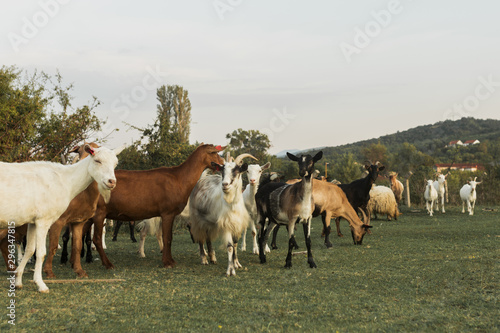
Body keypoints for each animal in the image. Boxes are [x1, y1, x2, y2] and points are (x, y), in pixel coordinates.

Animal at [0, 144, 120, 292]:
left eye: (115, 163)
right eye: (97, 160)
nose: (111, 182)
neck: (65, 180)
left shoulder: (33, 221)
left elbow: (30, 250)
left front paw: (18, 281)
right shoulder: (44, 220)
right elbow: (41, 253)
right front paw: (41, 284)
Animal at [89, 144, 226, 268]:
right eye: (214, 153)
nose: (223, 164)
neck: (179, 178)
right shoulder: (168, 212)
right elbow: (167, 237)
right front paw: (168, 262)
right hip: (100, 212)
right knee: (96, 238)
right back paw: (108, 264)